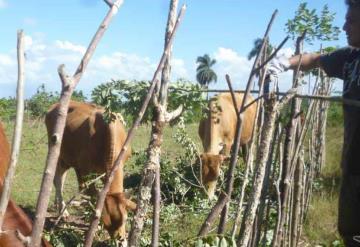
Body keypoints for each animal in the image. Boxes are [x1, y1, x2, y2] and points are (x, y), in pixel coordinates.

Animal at [45, 101, 135, 239]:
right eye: (105, 222)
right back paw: (63, 211)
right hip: (56, 151)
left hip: (66, 158)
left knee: (61, 177)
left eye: (125, 219)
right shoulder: (84, 170)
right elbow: (91, 195)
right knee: (58, 180)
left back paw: (58, 205)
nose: (118, 238)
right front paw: (94, 226)